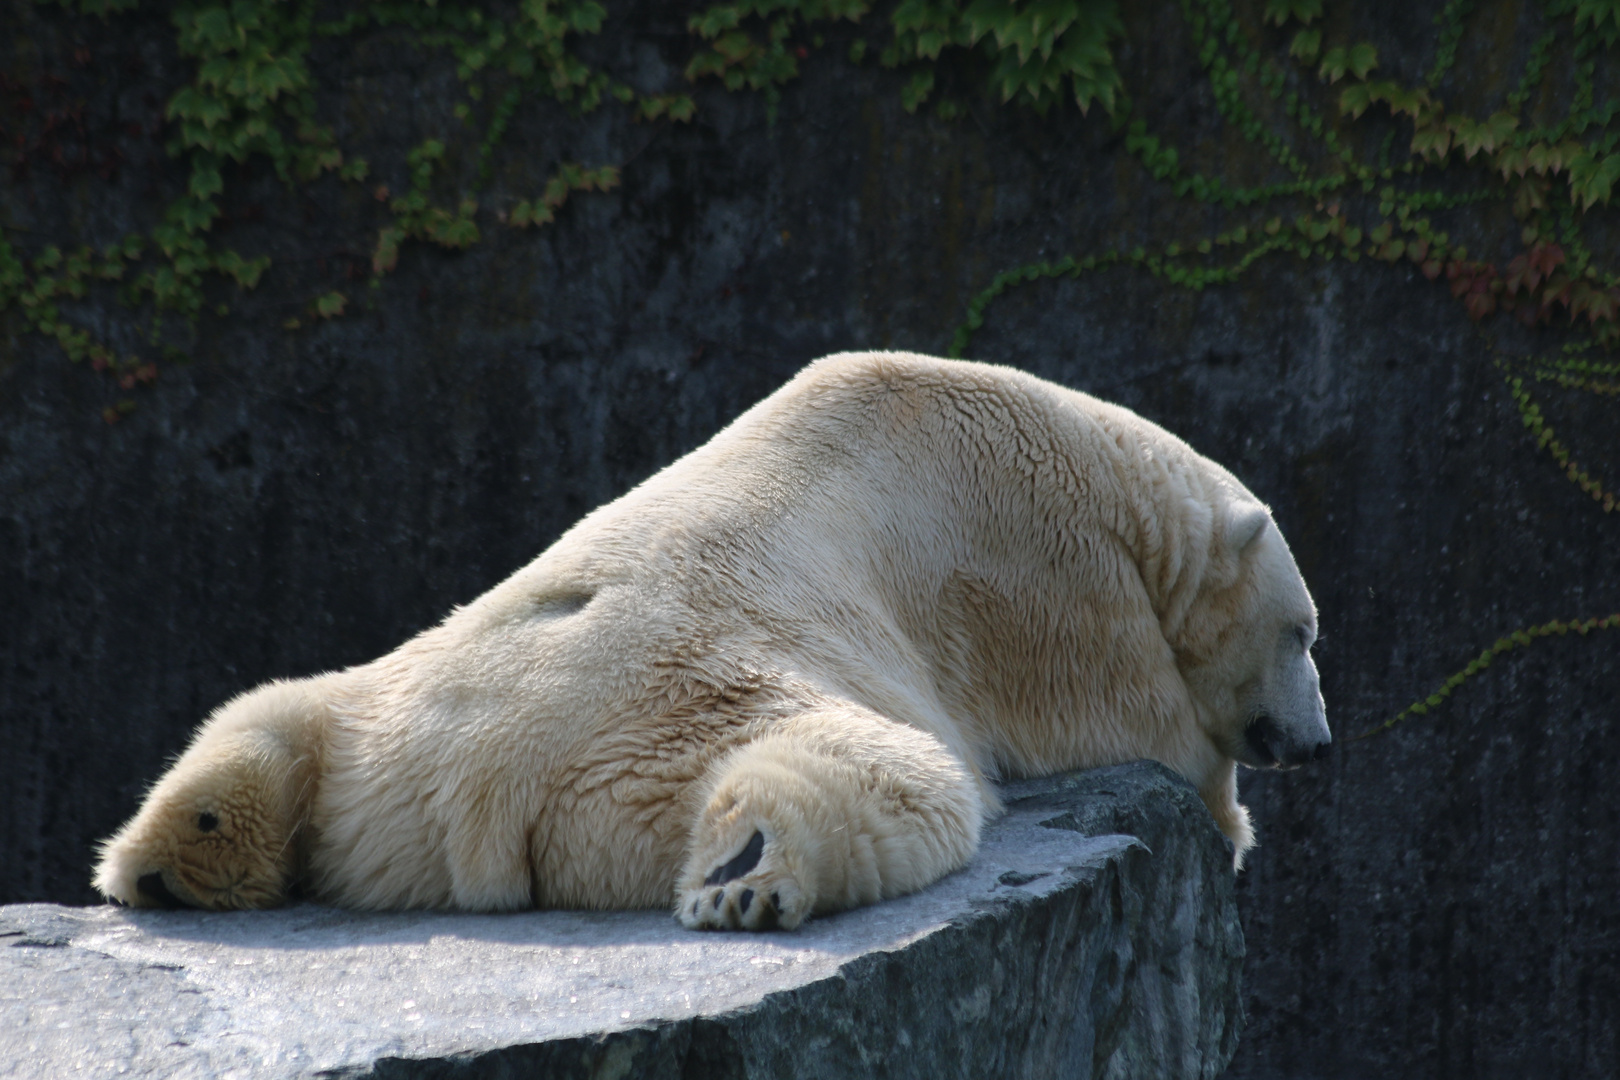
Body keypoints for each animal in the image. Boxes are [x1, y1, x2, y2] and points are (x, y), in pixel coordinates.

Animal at [91, 352, 1328, 932]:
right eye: (1307, 630)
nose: (1314, 742)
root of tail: (470, 788)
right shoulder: (1043, 570)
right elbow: (1137, 727)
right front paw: (1230, 825)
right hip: (687, 709)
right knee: (869, 774)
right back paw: (752, 876)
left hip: (379, 711)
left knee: (265, 716)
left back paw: (176, 852)